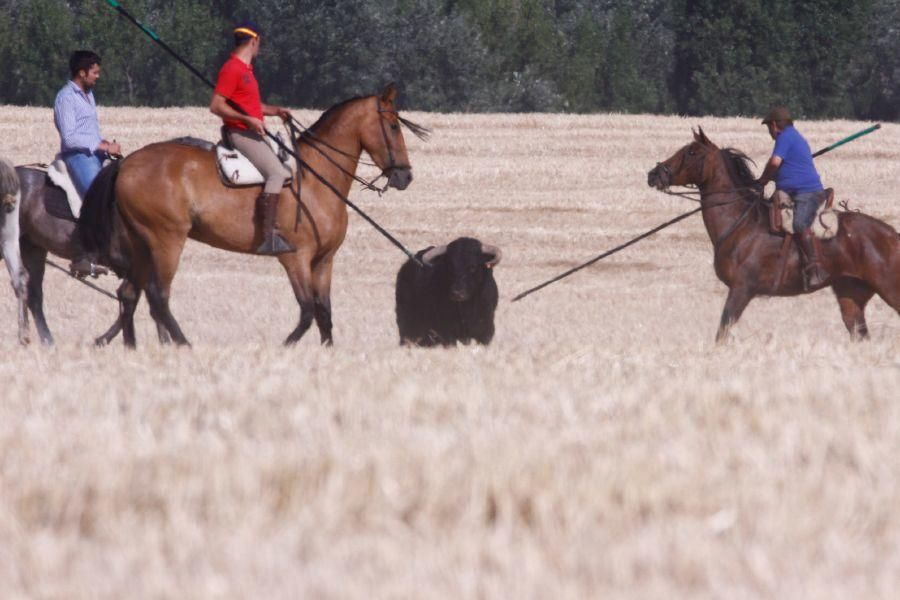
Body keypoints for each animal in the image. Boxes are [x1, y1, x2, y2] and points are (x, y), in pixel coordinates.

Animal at [81, 84, 426, 346]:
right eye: (393, 126)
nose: (406, 177)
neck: (318, 180)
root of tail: (126, 164)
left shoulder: (323, 261)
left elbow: (324, 314)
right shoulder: (296, 258)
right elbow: (307, 312)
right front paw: (284, 348)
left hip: (140, 243)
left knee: (129, 293)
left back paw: (132, 348)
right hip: (165, 240)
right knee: (158, 295)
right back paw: (183, 345)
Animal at [652, 126, 900, 342]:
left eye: (692, 152)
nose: (653, 174)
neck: (740, 223)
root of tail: (892, 234)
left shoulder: (742, 289)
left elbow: (723, 330)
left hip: (889, 288)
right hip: (851, 294)